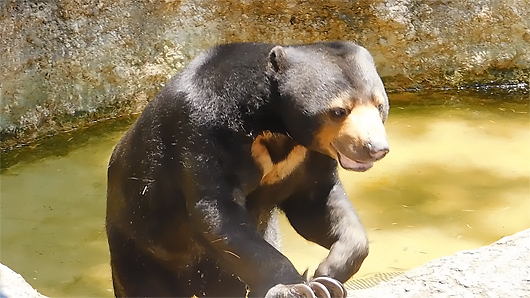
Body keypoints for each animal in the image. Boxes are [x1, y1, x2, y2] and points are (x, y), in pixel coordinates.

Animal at [106, 42, 388, 298]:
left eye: (379, 105)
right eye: (339, 111)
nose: (376, 148)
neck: (274, 124)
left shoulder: (308, 157)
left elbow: (315, 203)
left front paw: (328, 275)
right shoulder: (203, 133)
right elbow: (218, 212)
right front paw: (297, 288)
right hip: (140, 246)